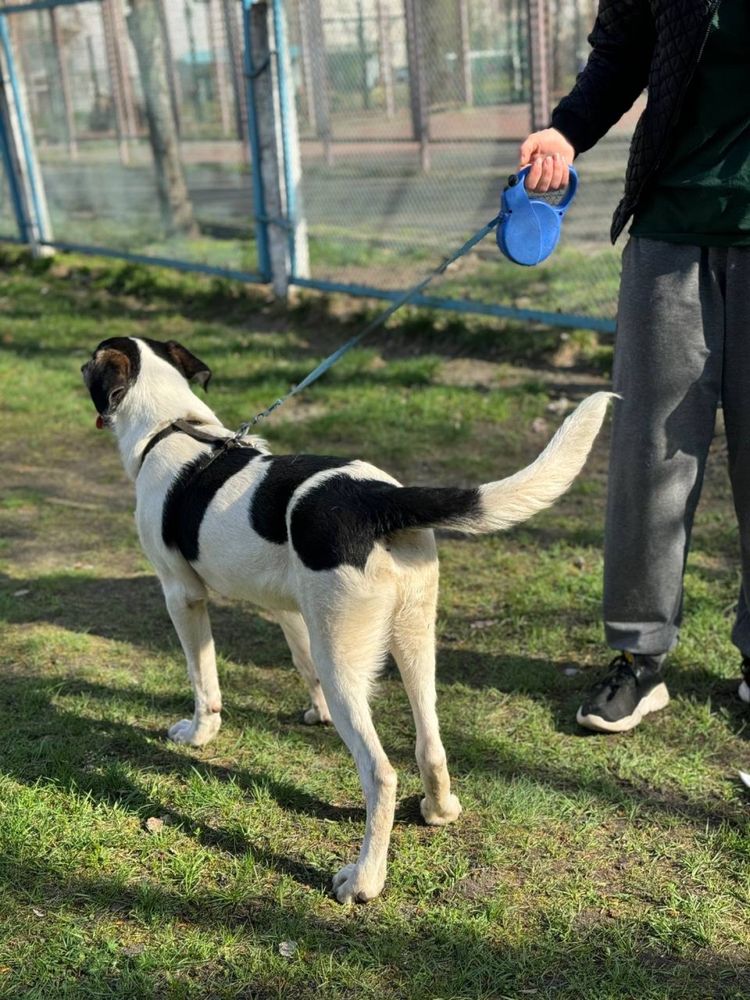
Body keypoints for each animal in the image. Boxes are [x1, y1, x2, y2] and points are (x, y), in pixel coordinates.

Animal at [81, 338, 612, 908]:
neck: (171, 426)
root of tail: (379, 500)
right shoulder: (291, 609)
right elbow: (301, 664)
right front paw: (313, 714)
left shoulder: (182, 596)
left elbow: (204, 680)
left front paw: (199, 733)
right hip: (411, 641)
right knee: (430, 744)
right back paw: (439, 810)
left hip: (347, 665)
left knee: (381, 774)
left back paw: (363, 880)